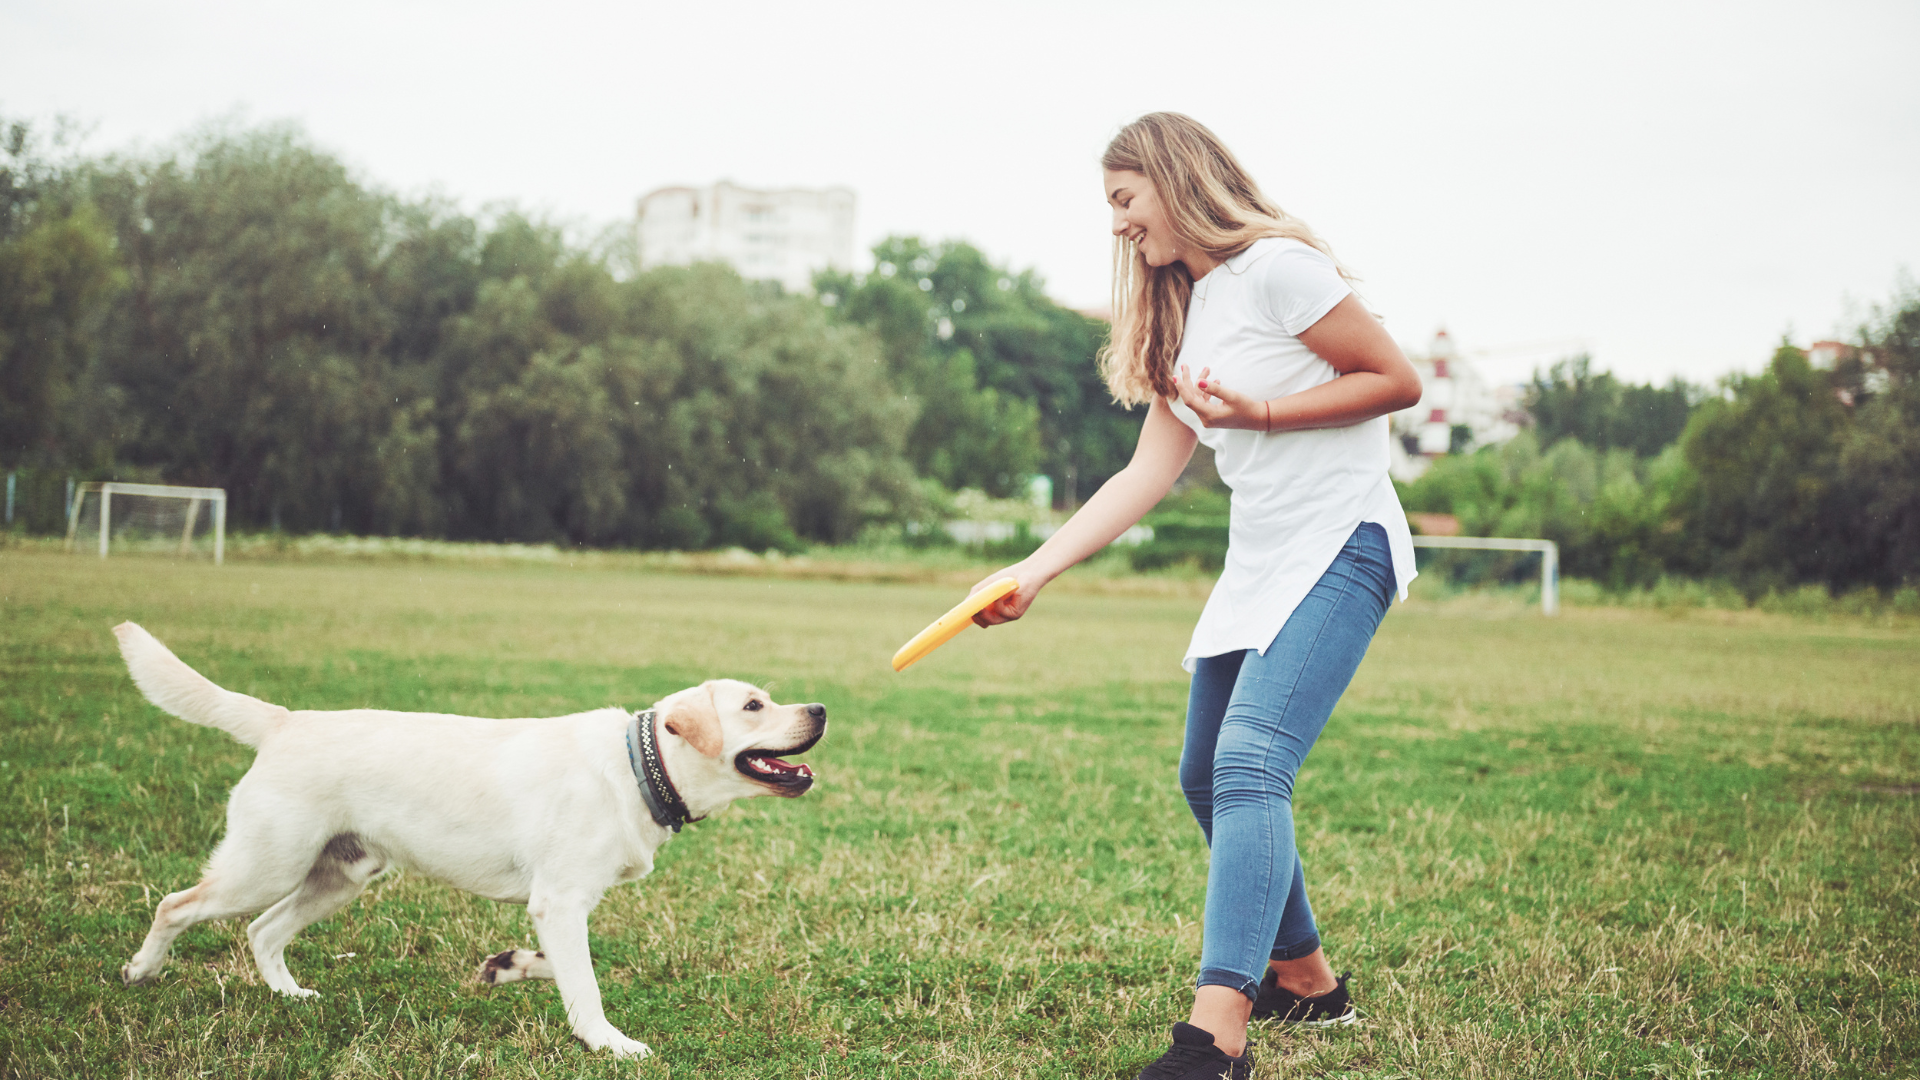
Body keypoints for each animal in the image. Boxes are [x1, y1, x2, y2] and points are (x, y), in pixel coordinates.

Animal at [108, 618, 821, 1053]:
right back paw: (141, 970)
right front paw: (609, 1043)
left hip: (339, 876)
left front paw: (509, 966)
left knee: (263, 931)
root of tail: (285, 720)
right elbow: (586, 984)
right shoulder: (559, 902)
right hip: (267, 865)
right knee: (176, 905)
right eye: (753, 705)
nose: (819, 708)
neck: (637, 767)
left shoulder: (560, 908)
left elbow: (566, 968)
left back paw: (290, 996)